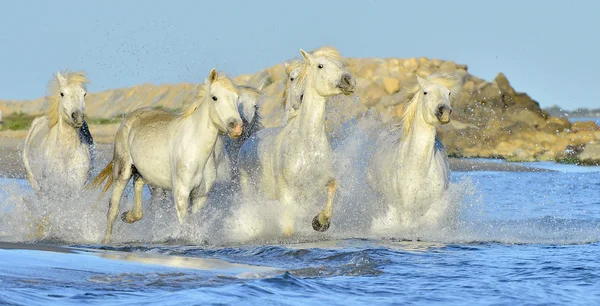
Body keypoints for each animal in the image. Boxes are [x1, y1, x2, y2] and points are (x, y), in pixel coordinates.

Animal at [91, 69, 241, 244]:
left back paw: (129, 216)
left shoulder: (200, 196)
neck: (196, 148)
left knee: (138, 185)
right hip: (123, 171)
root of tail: (128, 119)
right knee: (113, 208)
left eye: (237, 98)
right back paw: (107, 239)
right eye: (214, 97)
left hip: (150, 178)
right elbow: (185, 223)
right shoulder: (181, 193)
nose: (237, 127)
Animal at [237, 47, 354, 235]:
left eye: (340, 65)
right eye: (320, 65)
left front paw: (320, 221)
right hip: (248, 187)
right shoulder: (287, 193)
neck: (306, 144)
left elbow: (332, 186)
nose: (348, 81)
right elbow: (289, 228)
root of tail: (248, 142)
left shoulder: (318, 184)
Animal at [366, 71, 464, 230]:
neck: (418, 170)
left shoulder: (434, 206)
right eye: (425, 92)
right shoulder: (406, 210)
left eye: (448, 93)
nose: (444, 111)